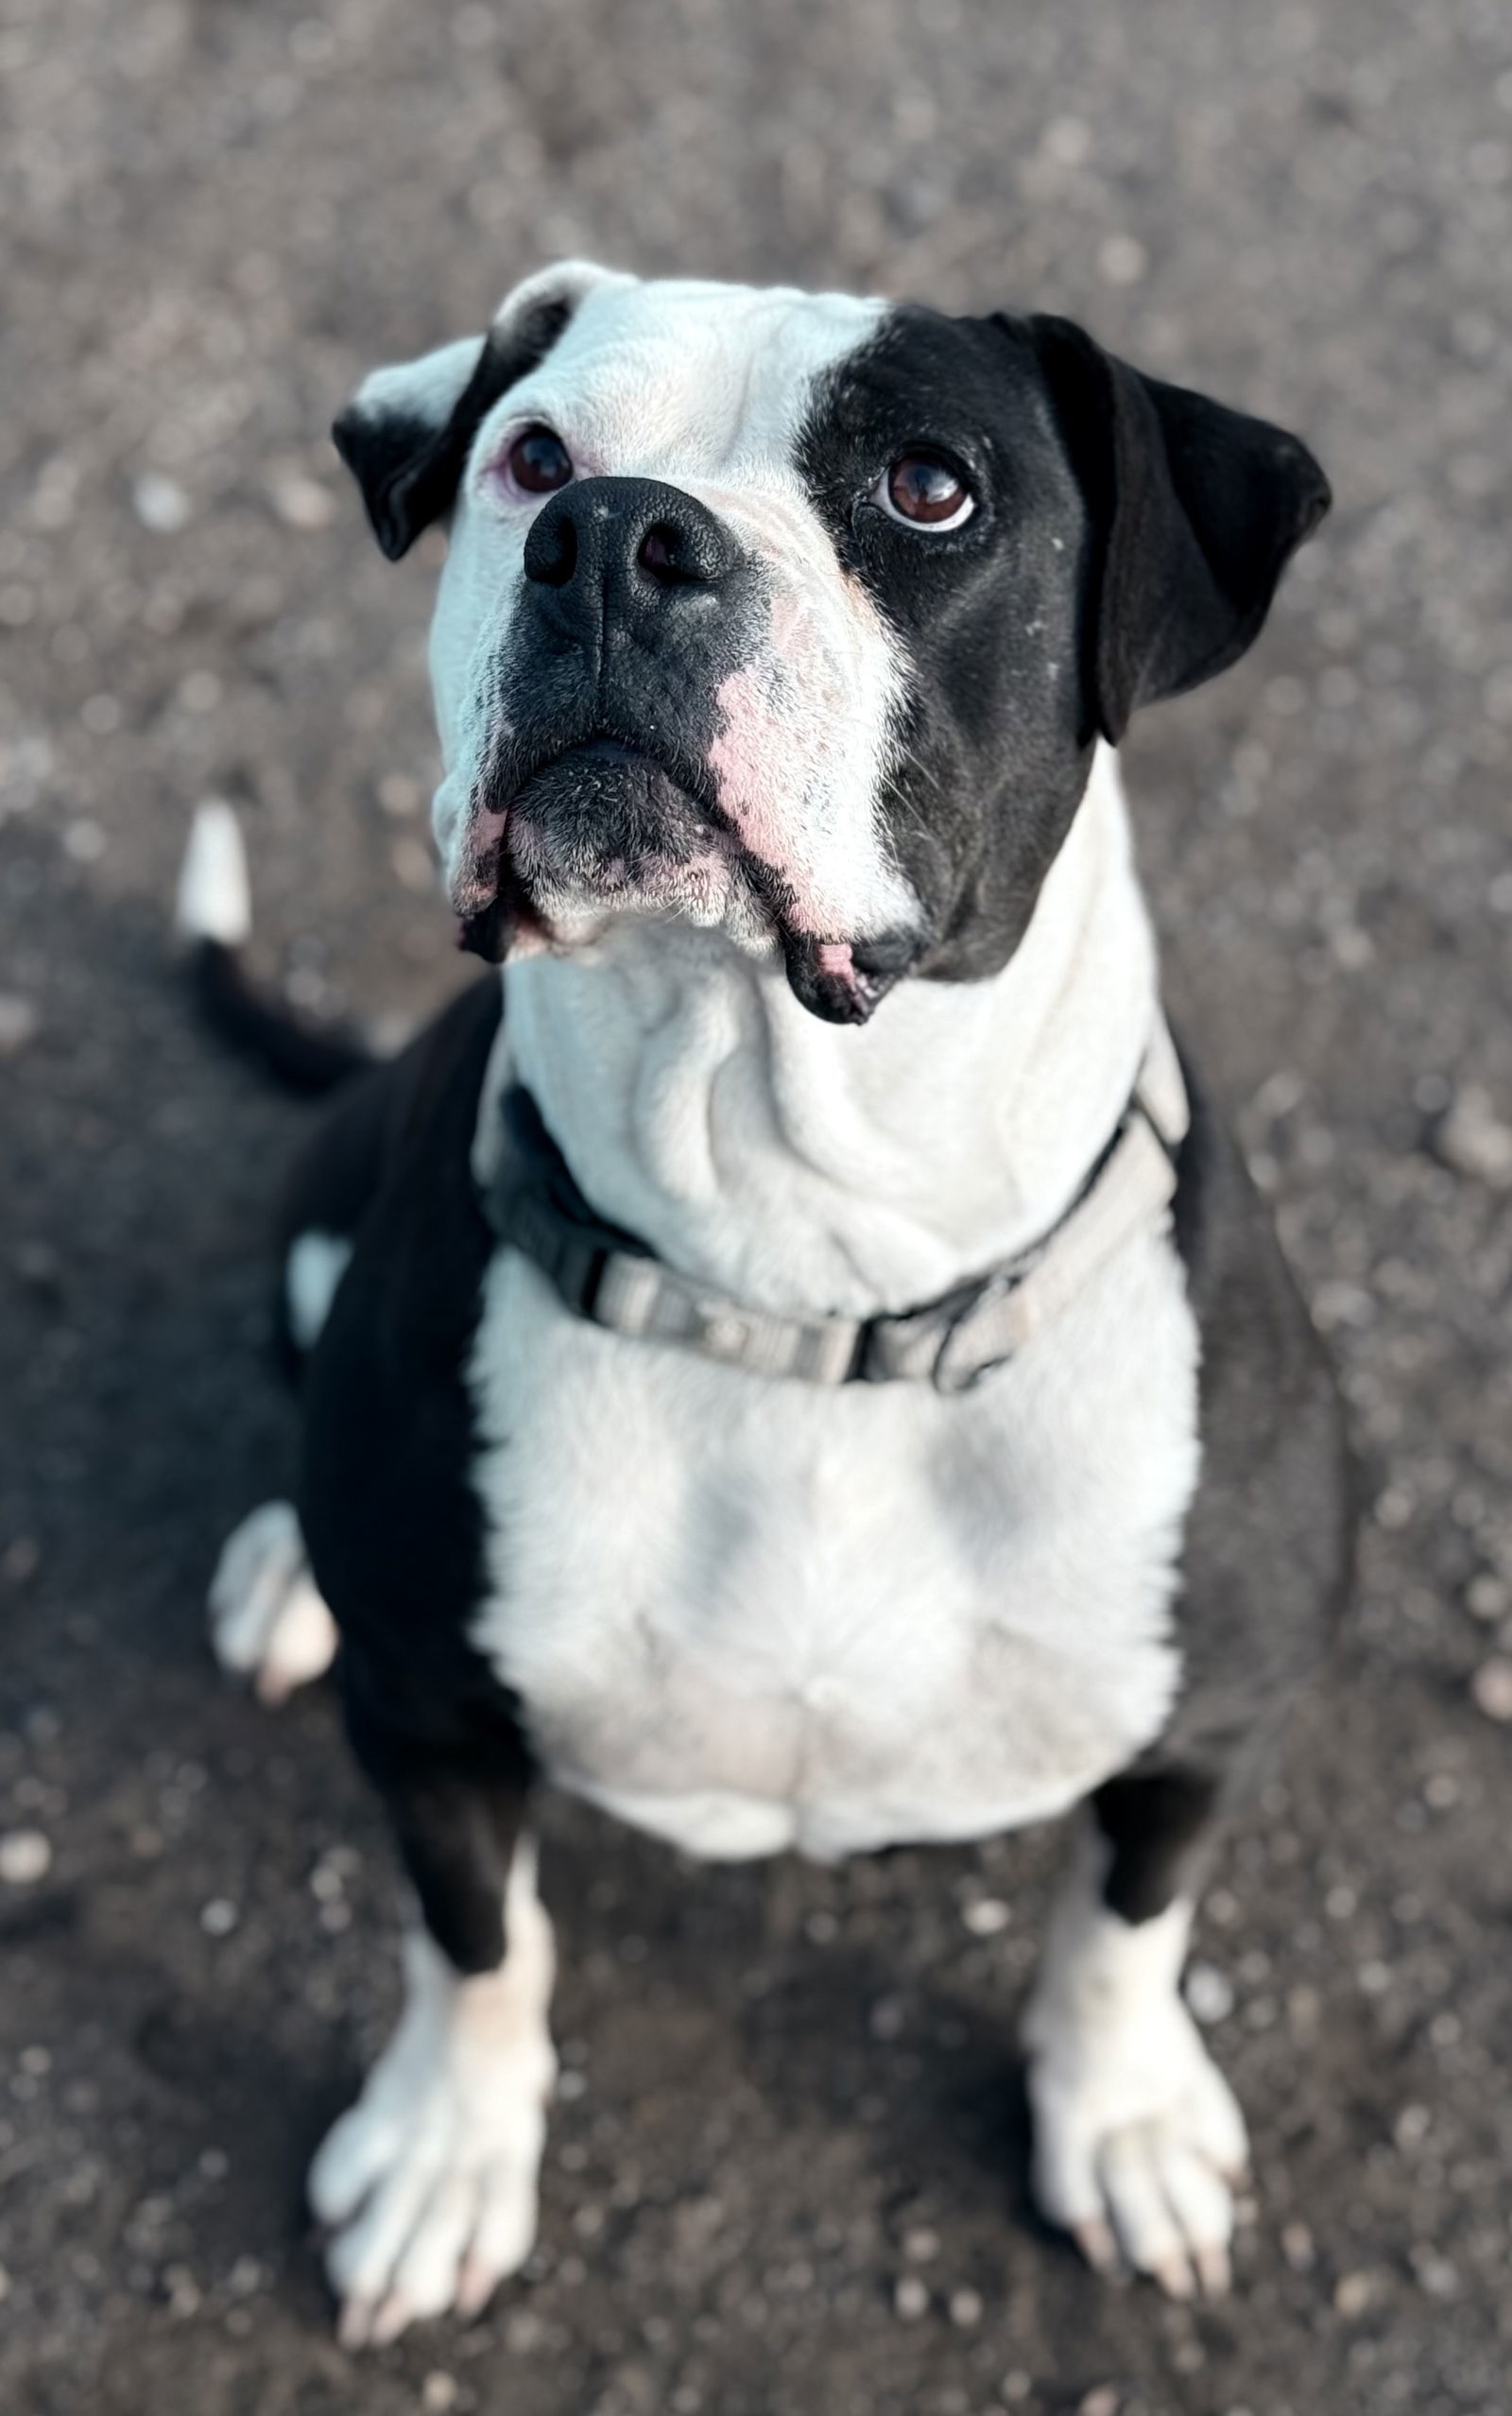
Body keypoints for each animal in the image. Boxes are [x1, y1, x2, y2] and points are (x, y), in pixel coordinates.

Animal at [180, 264, 1352, 2338]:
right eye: (530, 455)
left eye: (929, 487)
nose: (613, 542)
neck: (799, 1270)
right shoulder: (433, 1729)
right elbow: (473, 1946)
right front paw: (441, 2153)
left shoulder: (1211, 1717)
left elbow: (1125, 1927)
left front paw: (1122, 2116)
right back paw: (282, 1570)